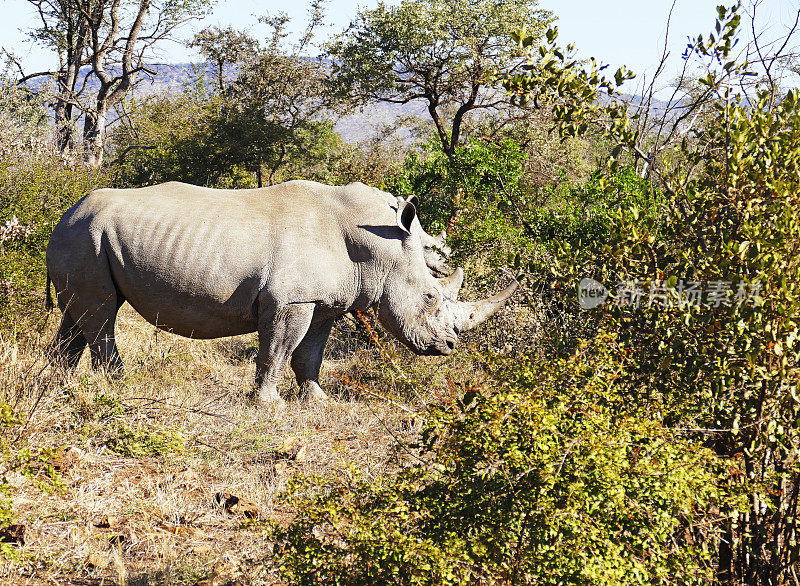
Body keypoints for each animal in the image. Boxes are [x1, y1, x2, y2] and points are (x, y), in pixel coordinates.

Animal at [45, 180, 520, 404]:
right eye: (430, 298)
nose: (449, 346)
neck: (379, 246)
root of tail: (64, 212)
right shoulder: (290, 300)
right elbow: (278, 348)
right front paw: (269, 404)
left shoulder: (325, 302)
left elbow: (310, 353)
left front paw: (318, 402)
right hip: (86, 237)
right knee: (101, 315)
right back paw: (117, 387)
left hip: (83, 238)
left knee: (77, 317)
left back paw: (53, 385)